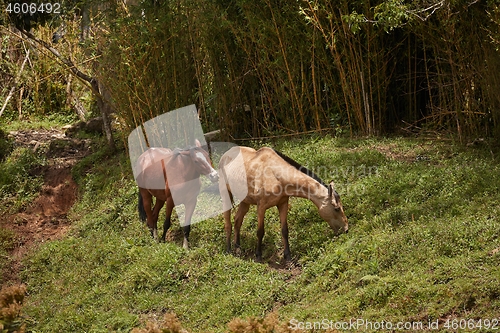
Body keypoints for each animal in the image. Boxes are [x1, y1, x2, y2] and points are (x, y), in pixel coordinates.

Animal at [219, 147, 348, 260]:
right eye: (336, 208)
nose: (346, 229)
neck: (276, 176)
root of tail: (224, 156)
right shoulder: (261, 207)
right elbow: (260, 231)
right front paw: (258, 255)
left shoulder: (283, 204)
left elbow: (285, 230)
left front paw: (288, 256)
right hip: (226, 195)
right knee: (228, 224)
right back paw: (228, 250)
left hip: (245, 201)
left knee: (237, 221)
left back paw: (238, 249)